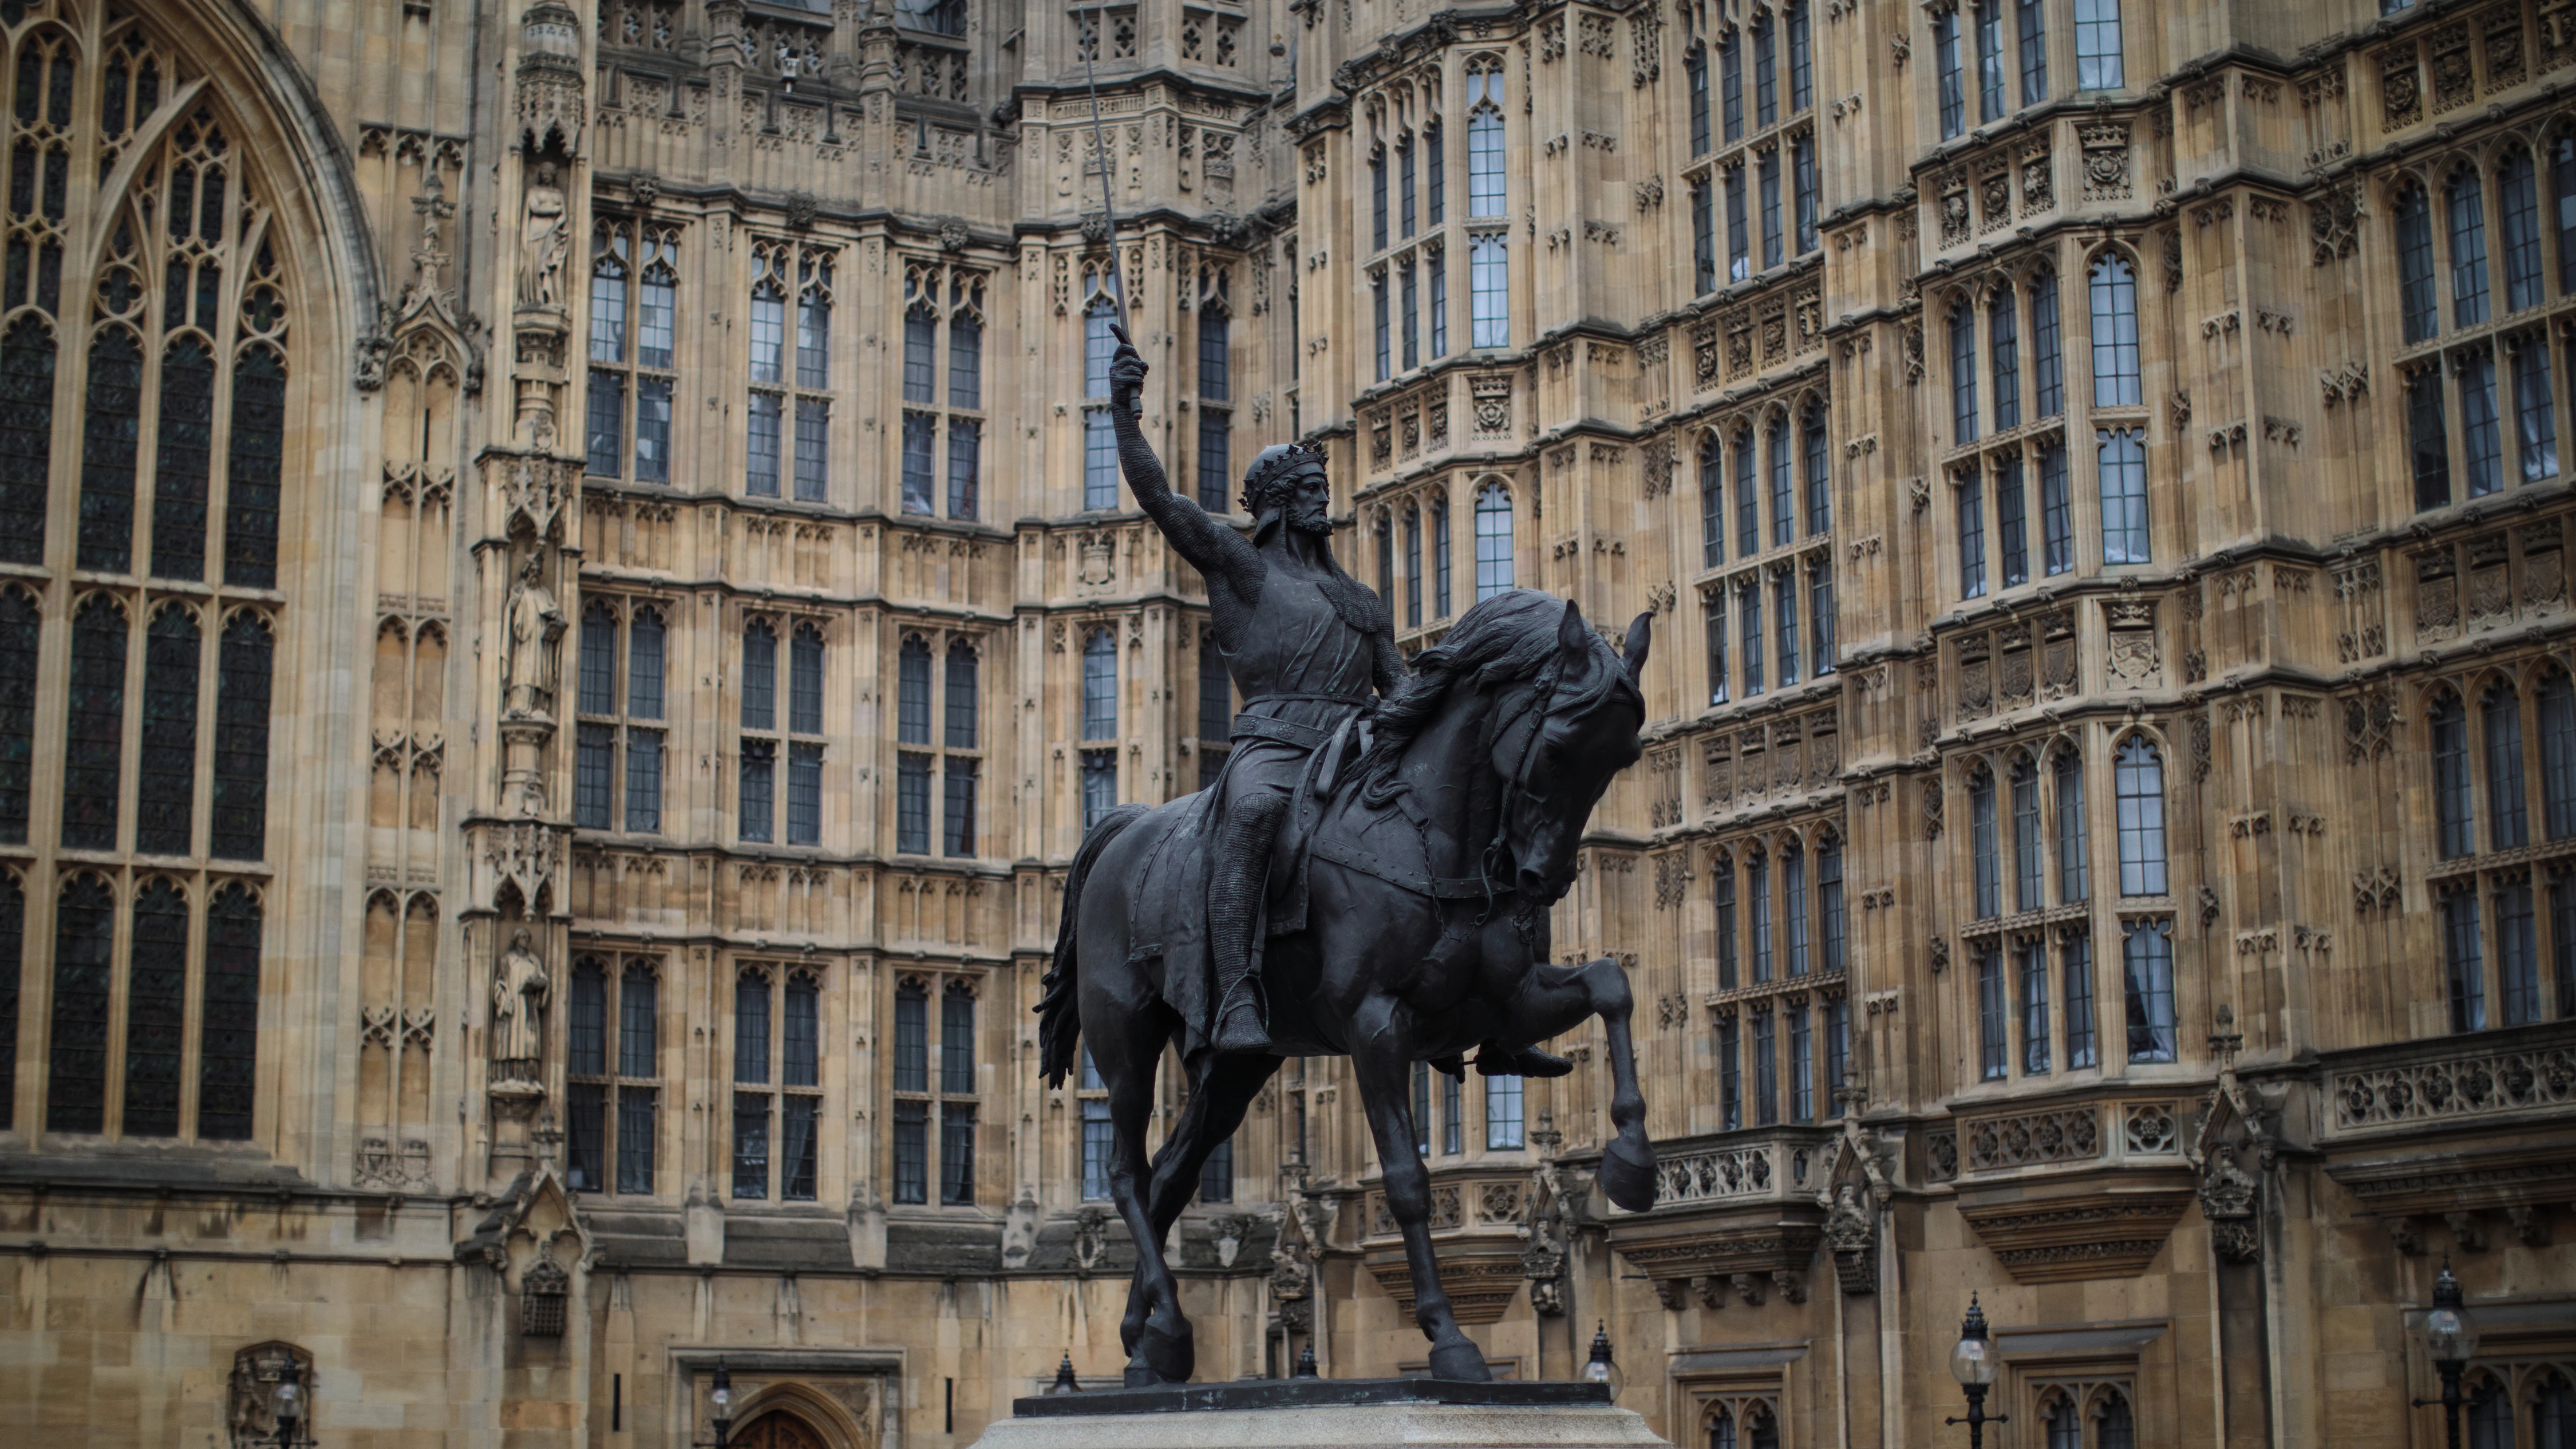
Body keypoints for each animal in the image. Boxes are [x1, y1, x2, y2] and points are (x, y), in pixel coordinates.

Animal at [1036, 582, 1659, 1371]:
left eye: (1623, 755)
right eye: (1554, 746)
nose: (1539, 880)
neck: (1429, 833)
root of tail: (1122, 827)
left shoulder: (1505, 1002)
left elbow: (1613, 984)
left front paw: (1632, 1162)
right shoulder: (1375, 1021)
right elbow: (1406, 1177)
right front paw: (1449, 1336)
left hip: (1238, 1065)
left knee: (1170, 1173)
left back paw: (1142, 1339)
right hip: (1125, 1033)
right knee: (1126, 1169)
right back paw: (1170, 1328)